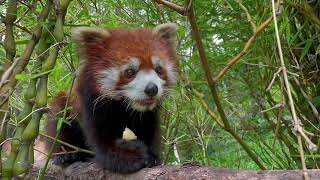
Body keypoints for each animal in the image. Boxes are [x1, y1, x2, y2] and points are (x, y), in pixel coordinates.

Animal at [46, 23, 179, 174]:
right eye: (129, 72)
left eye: (158, 69)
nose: (152, 89)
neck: (124, 107)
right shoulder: (92, 104)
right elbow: (102, 141)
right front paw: (131, 156)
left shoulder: (148, 114)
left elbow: (150, 131)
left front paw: (153, 156)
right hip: (66, 105)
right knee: (58, 122)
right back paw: (66, 153)